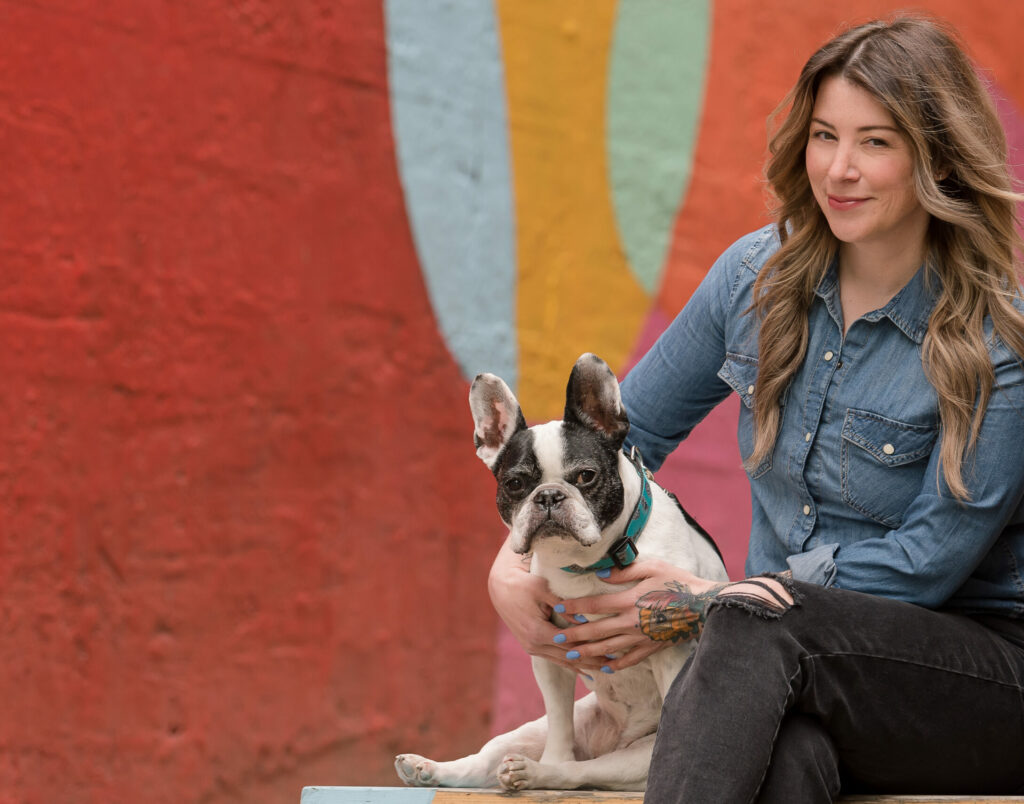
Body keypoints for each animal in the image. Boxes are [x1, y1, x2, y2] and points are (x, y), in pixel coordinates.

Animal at [393, 352, 729, 790]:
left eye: (586, 476)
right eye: (515, 483)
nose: (549, 495)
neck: (592, 564)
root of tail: (615, 739)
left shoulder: (671, 653)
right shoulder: (550, 655)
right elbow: (558, 721)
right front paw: (552, 752)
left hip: (632, 761)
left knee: (578, 772)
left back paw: (536, 772)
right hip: (529, 731)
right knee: (486, 762)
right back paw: (429, 768)